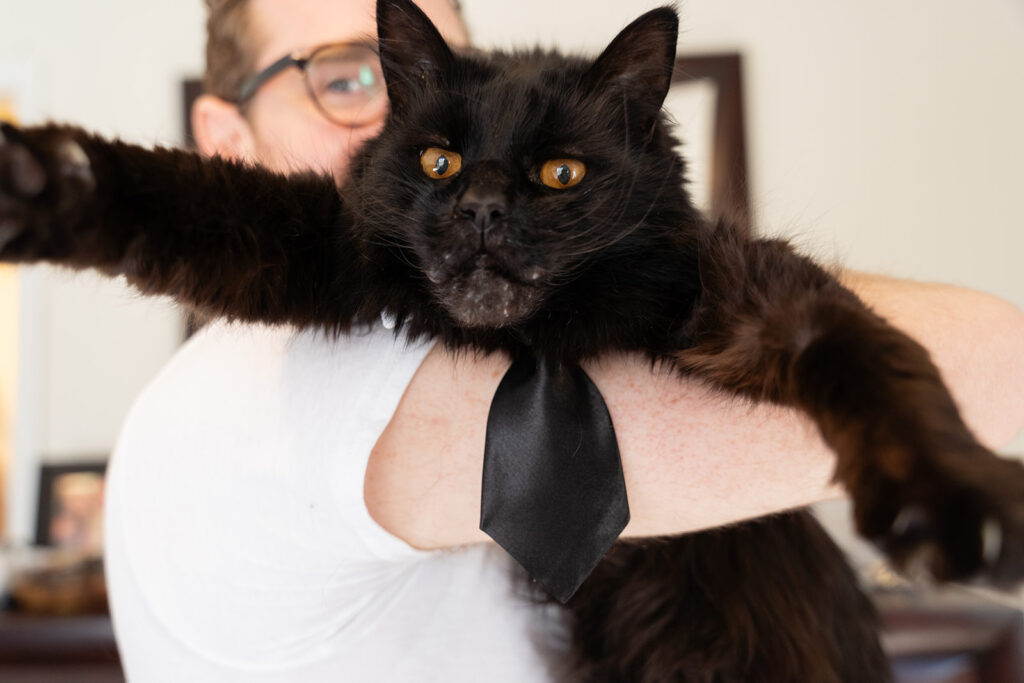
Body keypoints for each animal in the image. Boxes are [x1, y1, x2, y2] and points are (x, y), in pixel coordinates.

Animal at [2, 2, 1024, 679]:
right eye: (439, 161)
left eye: (560, 173)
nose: (484, 208)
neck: (539, 337)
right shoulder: (331, 251)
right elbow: (185, 197)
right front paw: (48, 181)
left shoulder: (747, 297)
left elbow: (870, 354)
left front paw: (951, 498)